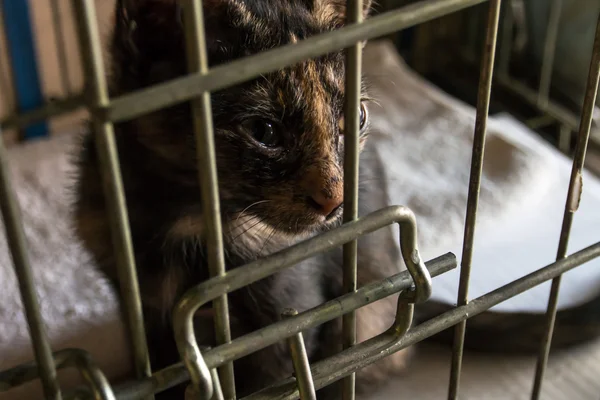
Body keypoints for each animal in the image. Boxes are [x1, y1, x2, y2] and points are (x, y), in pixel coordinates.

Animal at [71, 0, 412, 396]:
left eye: (356, 117)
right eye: (264, 132)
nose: (334, 200)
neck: (189, 224)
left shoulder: (288, 312)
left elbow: (276, 384)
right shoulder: (144, 315)